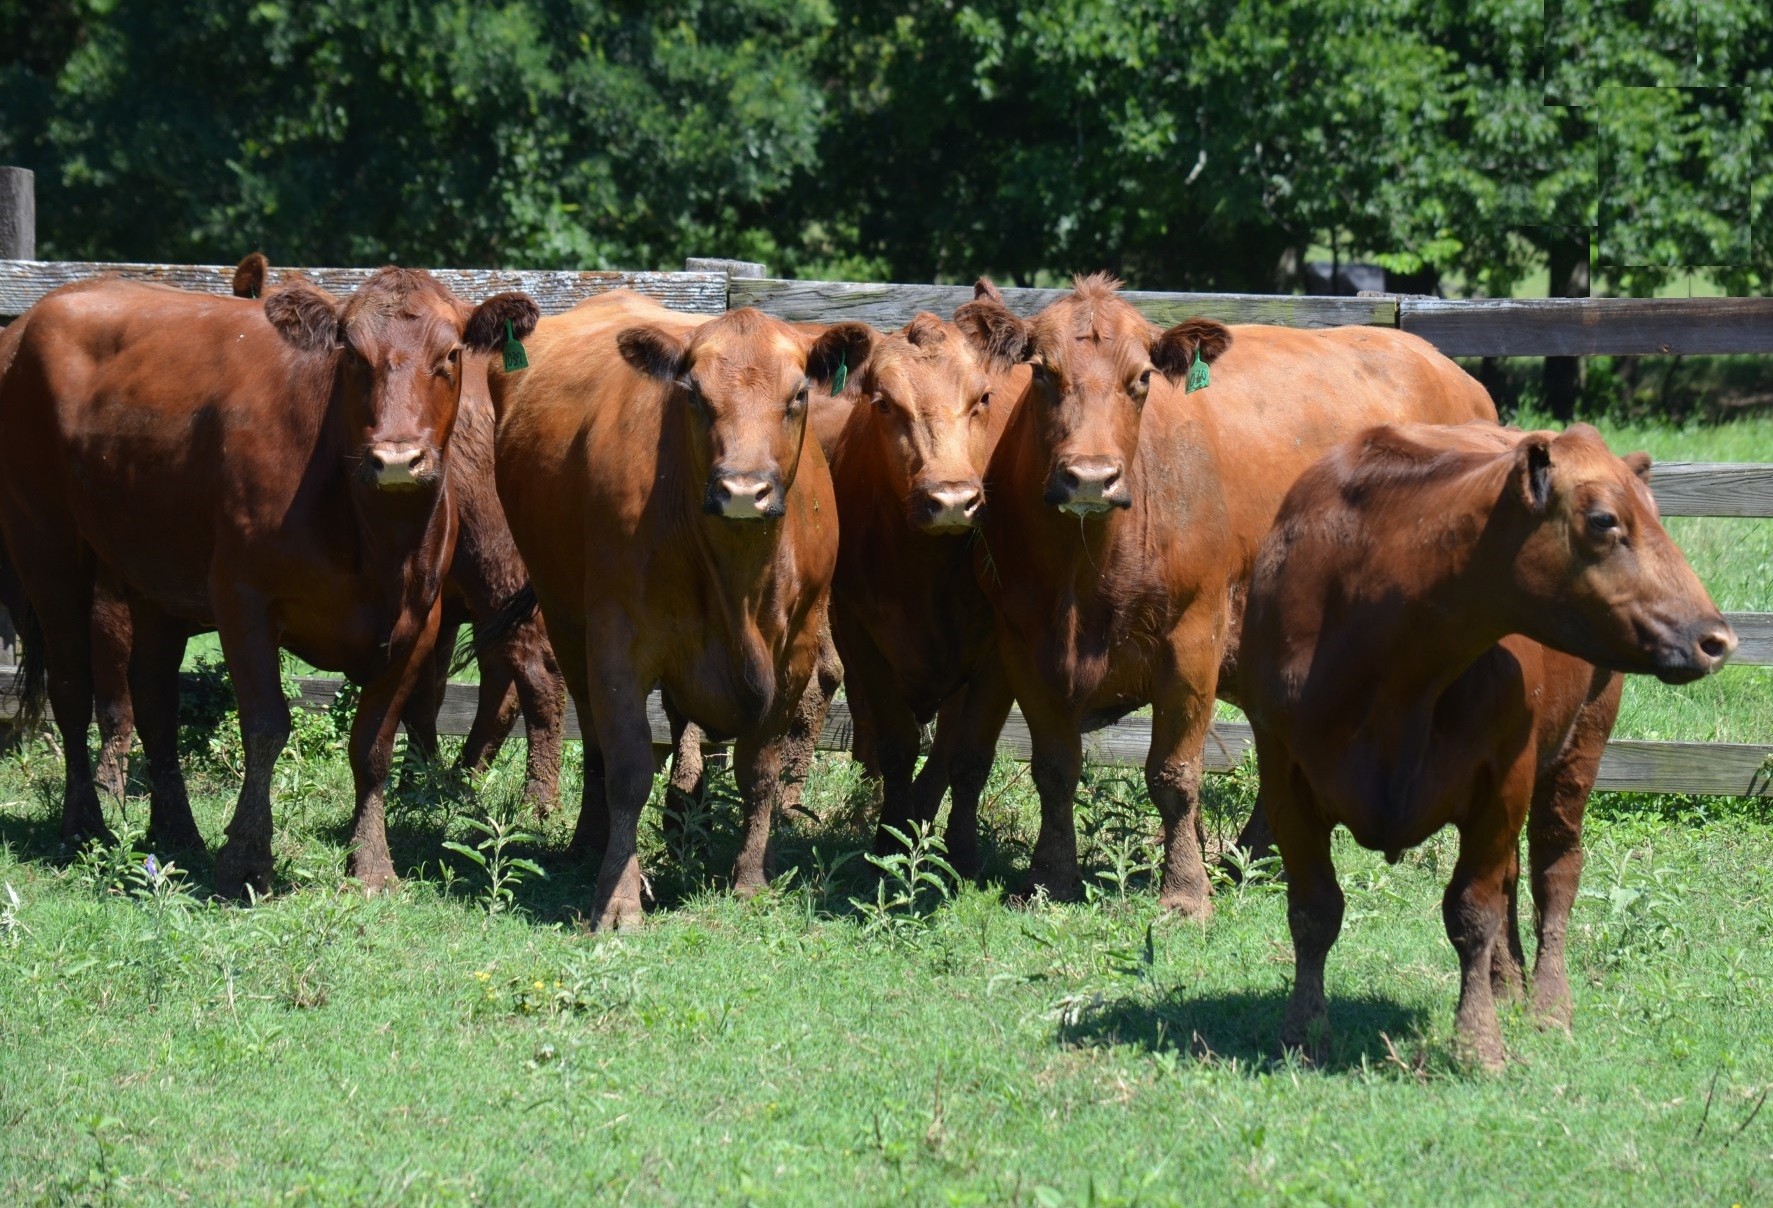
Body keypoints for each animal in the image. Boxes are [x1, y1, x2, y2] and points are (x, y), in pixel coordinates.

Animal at [0, 266, 531, 894]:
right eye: (352, 355)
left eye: (449, 354)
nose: (397, 459)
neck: (375, 539)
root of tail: (41, 311)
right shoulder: (242, 601)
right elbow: (265, 726)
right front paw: (246, 858)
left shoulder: (420, 622)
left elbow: (374, 744)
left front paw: (372, 863)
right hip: (47, 547)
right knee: (71, 687)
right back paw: (85, 824)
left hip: (154, 579)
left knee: (154, 698)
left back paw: (175, 830)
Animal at [489, 289, 868, 922]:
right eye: (693, 394)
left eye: (798, 395)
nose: (743, 490)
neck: (739, 579)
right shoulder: (616, 640)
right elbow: (628, 766)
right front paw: (618, 899)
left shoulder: (798, 649)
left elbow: (760, 768)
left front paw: (750, 878)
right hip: (565, 620)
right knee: (594, 739)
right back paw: (592, 842)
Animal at [957, 273, 1496, 908]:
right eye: (1042, 372)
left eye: (1141, 379)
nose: (1090, 477)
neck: (1080, 579)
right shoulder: (1022, 644)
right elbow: (1055, 768)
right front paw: (1048, 877)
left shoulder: (1194, 642)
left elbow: (1173, 776)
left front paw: (1186, 892)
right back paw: (1255, 857)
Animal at [1248, 423, 1730, 1064]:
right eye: (1604, 519)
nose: (1716, 639)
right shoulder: (1283, 774)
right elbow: (1313, 911)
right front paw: (1303, 1033)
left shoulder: (1504, 777)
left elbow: (1471, 912)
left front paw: (1477, 1040)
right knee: (1511, 879)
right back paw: (1508, 984)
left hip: (1580, 746)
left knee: (1554, 869)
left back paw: (1549, 1003)